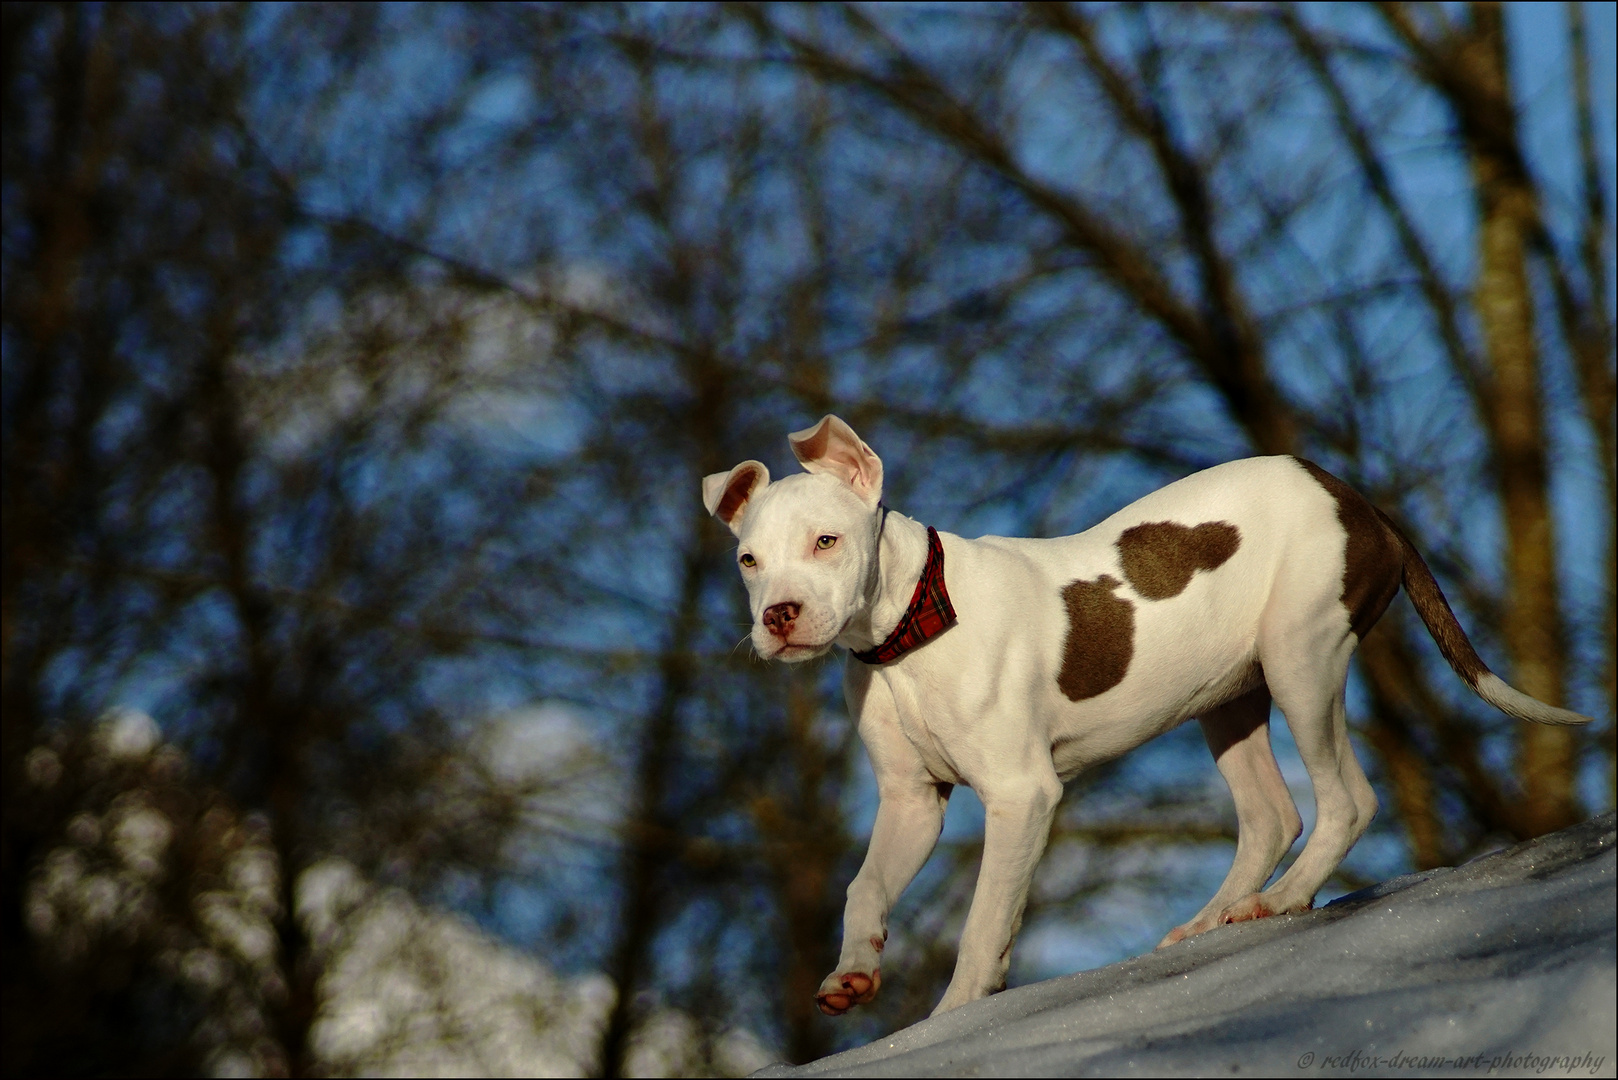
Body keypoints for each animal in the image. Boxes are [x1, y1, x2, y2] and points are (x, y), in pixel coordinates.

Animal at [698, 414, 1592, 1016]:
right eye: (747, 560)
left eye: (826, 541)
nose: (778, 616)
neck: (907, 635)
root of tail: (1362, 503)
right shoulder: (911, 802)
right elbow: (865, 886)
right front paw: (852, 971)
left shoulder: (1022, 796)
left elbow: (986, 920)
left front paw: (955, 1012)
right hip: (1230, 697)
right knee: (1271, 815)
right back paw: (1211, 922)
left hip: (1301, 657)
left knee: (1346, 800)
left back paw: (1279, 900)